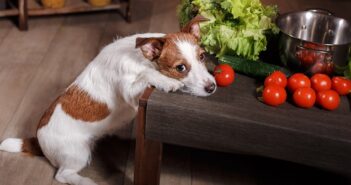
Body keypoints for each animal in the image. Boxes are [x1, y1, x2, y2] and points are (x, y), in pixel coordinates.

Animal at [0, 16, 216, 185]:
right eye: (180, 68)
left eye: (203, 56)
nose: (212, 87)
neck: (141, 58)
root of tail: (38, 139)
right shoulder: (130, 93)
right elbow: (145, 75)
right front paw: (166, 81)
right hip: (77, 153)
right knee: (62, 175)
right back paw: (86, 182)